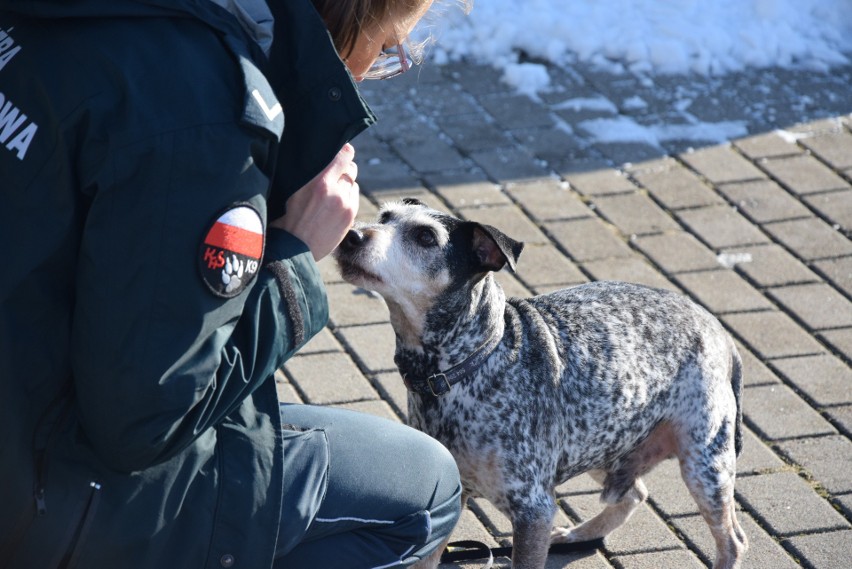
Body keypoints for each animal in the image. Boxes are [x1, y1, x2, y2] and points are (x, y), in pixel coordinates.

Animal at [332, 200, 744, 568]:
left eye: (425, 237)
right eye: (384, 217)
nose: (351, 235)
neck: (462, 370)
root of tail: (719, 329)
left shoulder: (533, 509)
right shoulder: (449, 501)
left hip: (704, 464)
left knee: (733, 541)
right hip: (600, 442)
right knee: (634, 494)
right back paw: (579, 533)